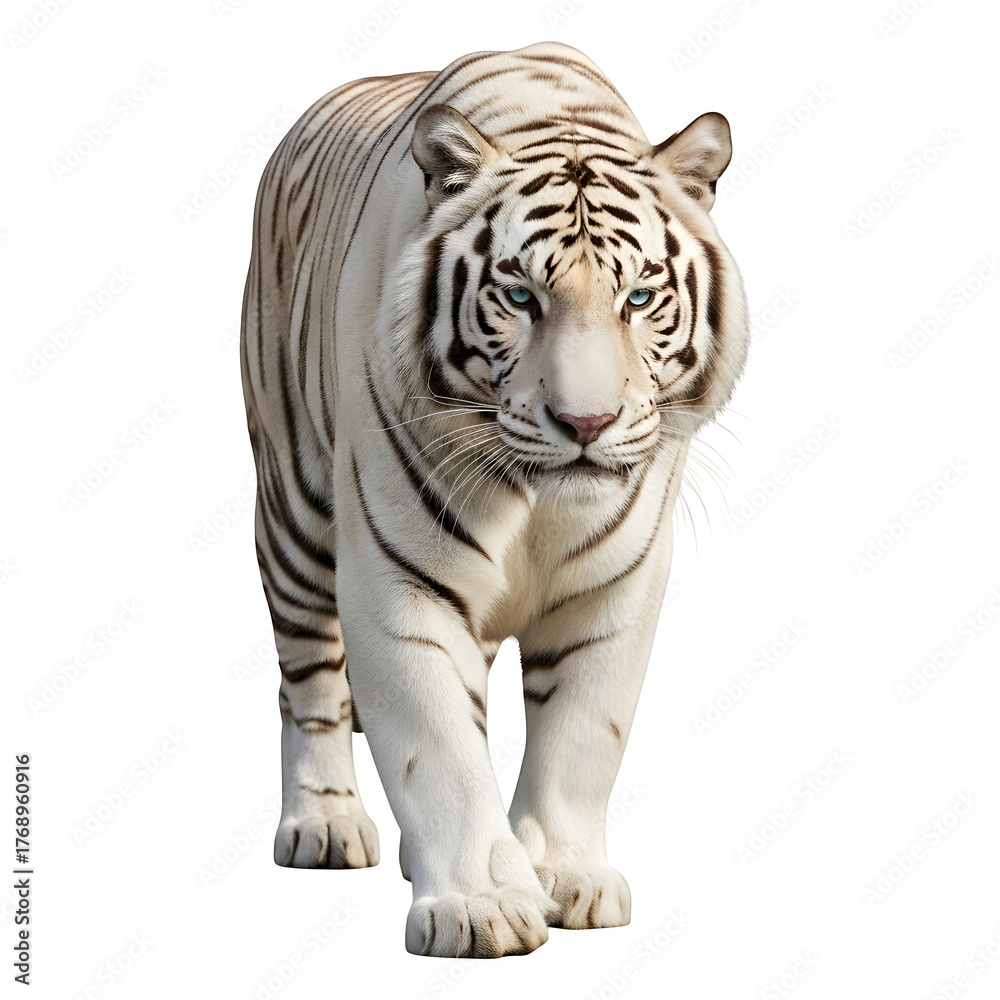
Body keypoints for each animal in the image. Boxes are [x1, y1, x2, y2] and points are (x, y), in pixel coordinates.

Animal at [239, 40, 748, 958]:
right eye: (519, 297)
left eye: (639, 297)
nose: (586, 422)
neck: (535, 501)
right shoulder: (398, 582)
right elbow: (437, 746)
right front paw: (480, 908)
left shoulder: (615, 589)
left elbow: (582, 736)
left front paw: (568, 877)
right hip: (294, 511)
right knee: (310, 683)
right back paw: (324, 825)